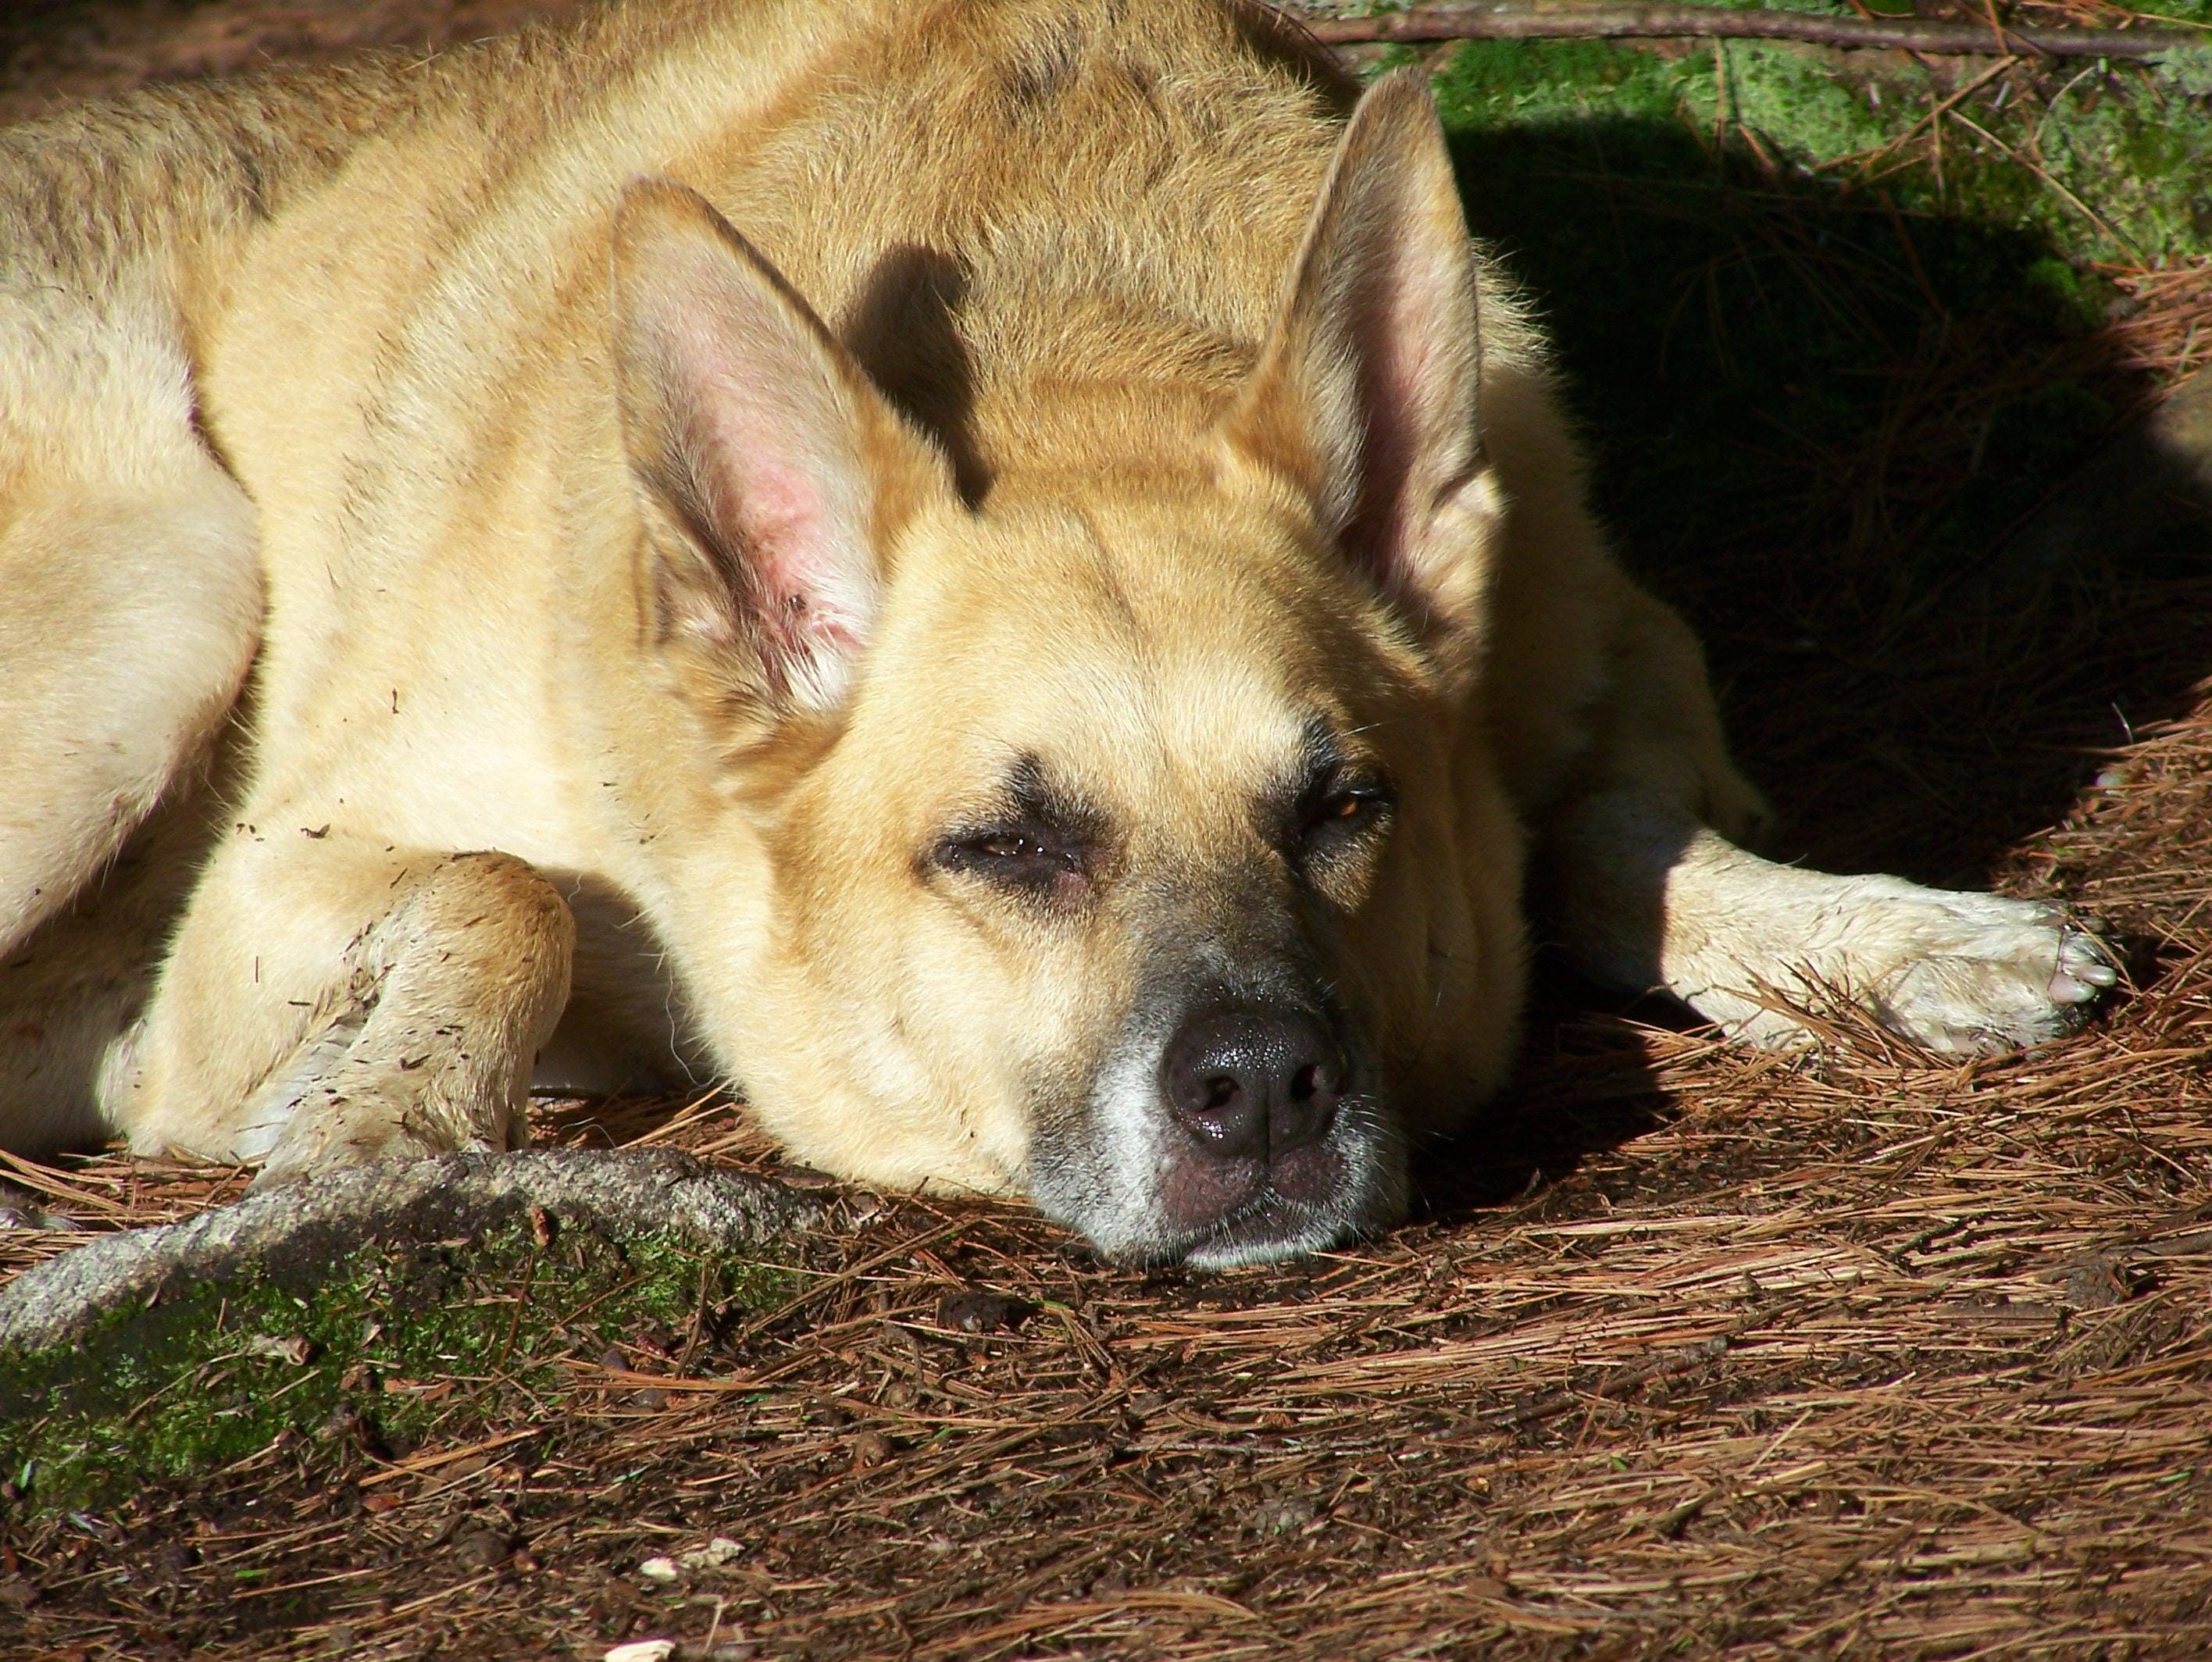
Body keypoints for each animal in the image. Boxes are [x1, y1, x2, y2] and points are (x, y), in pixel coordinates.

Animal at [0, 0, 2115, 1266]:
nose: (1266, 1090)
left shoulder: (1613, 666)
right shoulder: (279, 882)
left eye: (1340, 809)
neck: (1068, 350)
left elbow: (1613, 835)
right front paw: (382, 1128)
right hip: (162, 600)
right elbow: (500, 888)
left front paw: (1900, 936)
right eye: (1002, 846)